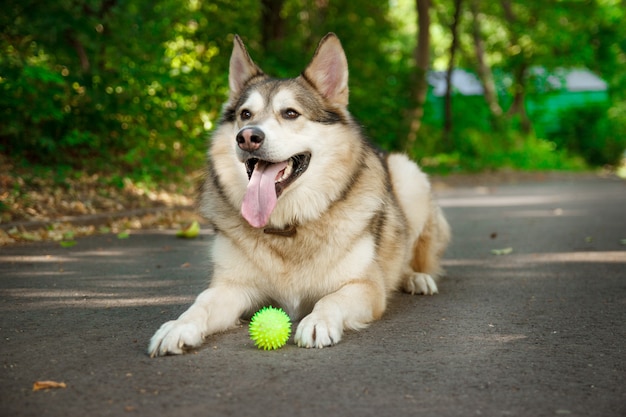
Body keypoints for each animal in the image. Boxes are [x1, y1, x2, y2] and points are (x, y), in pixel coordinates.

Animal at [146, 34, 448, 356]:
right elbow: (201, 304)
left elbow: (331, 299)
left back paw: (416, 278)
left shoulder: (365, 286)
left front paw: (318, 321)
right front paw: (178, 327)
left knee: (413, 258)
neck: (287, 227)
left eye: (290, 113)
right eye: (245, 115)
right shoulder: (231, 287)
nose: (247, 137)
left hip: (408, 177)